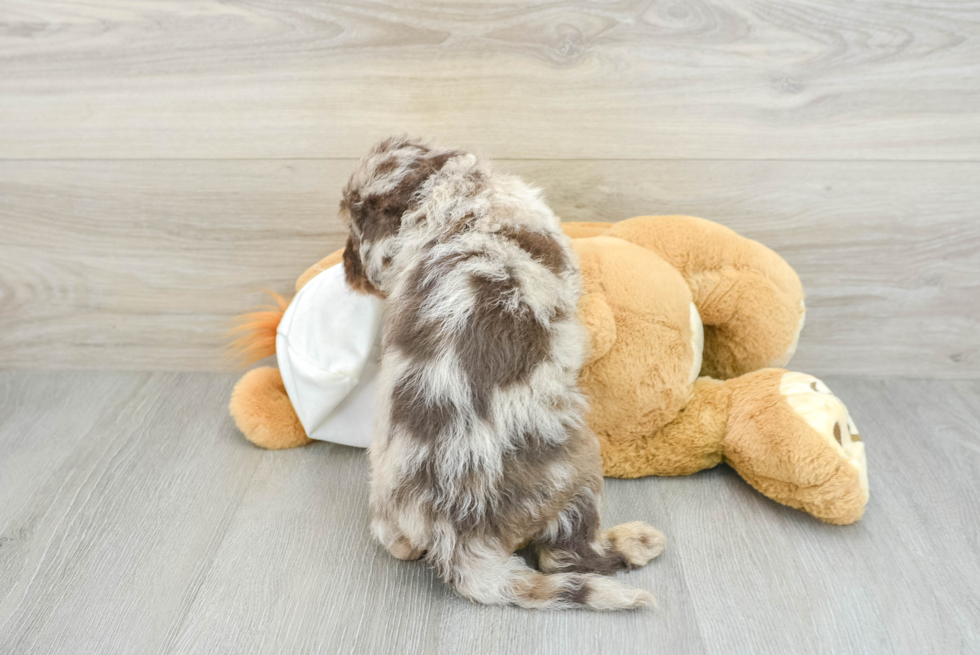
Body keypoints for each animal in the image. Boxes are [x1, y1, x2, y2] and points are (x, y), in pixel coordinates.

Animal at [338, 136, 668, 612]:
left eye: (354, 230)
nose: (345, 268)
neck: (457, 207)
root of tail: (458, 540)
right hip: (581, 468)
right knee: (563, 555)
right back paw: (636, 542)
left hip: (385, 490)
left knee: (394, 541)